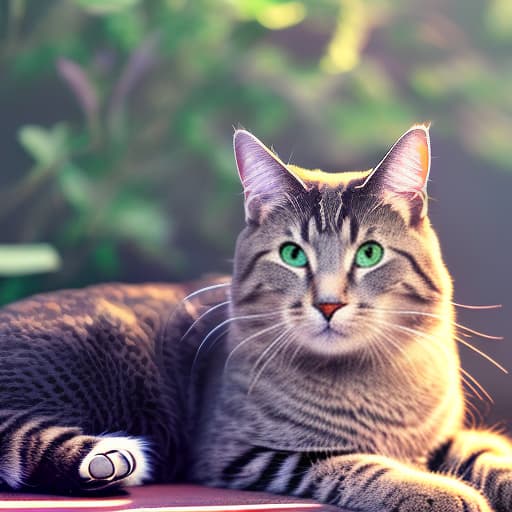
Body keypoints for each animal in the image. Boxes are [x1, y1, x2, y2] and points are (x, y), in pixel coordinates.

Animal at [1, 125, 512, 512]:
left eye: (369, 253)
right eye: (292, 254)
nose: (329, 304)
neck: (366, 376)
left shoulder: (444, 435)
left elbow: (486, 453)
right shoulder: (246, 453)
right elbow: (358, 464)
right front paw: (440, 493)